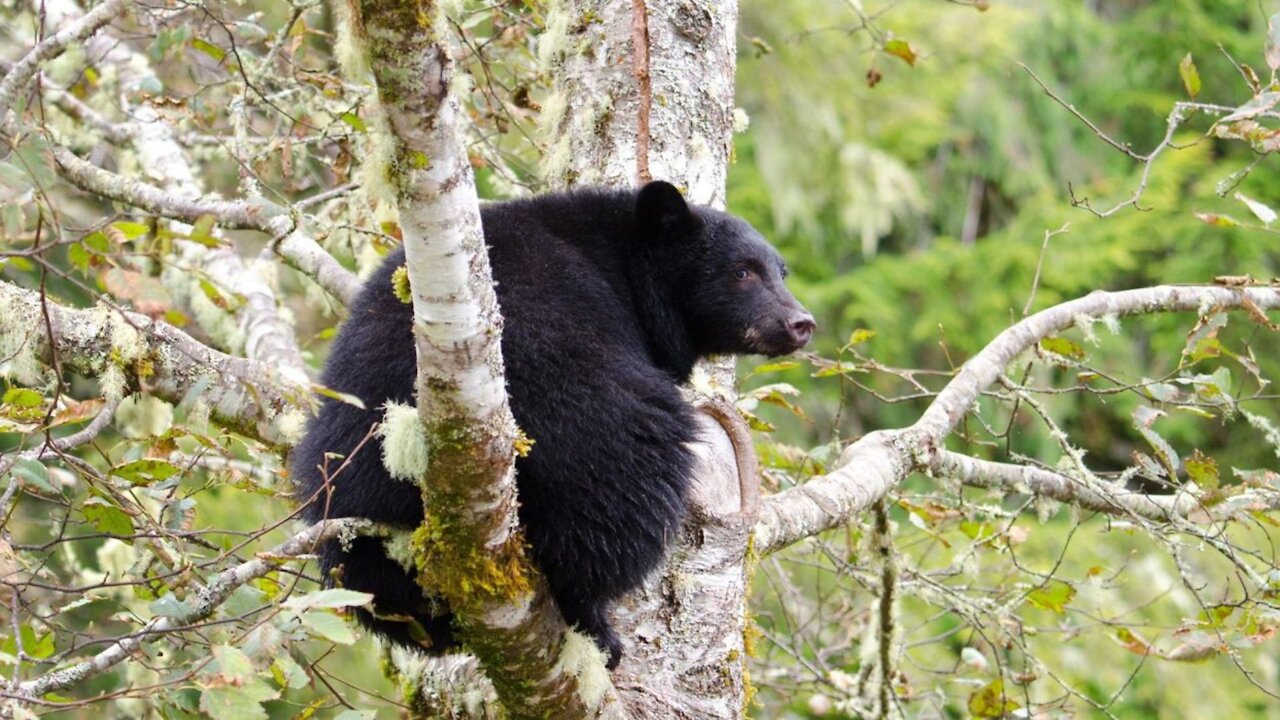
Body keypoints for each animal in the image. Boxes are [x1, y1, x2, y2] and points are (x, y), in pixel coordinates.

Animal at [293, 179, 808, 666]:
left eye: (780, 272)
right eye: (742, 272)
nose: (801, 323)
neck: (626, 268)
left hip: (347, 450)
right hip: (580, 408)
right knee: (625, 484)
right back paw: (594, 620)